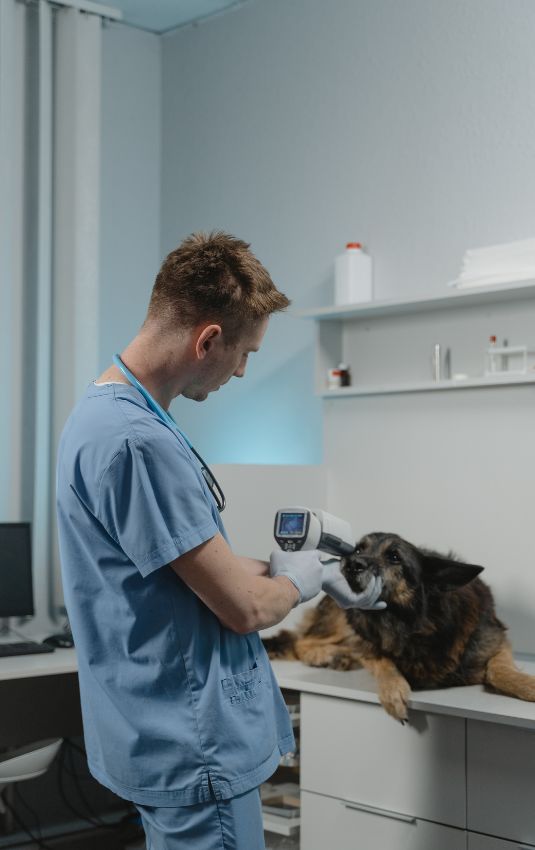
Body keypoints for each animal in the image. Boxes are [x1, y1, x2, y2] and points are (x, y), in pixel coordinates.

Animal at [262, 532, 535, 720]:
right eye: (359, 548)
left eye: (394, 557)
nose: (350, 563)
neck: (416, 626)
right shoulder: (368, 641)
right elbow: (383, 662)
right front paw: (394, 691)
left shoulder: (495, 639)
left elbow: (499, 670)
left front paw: (527, 685)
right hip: (342, 620)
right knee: (302, 641)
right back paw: (326, 655)